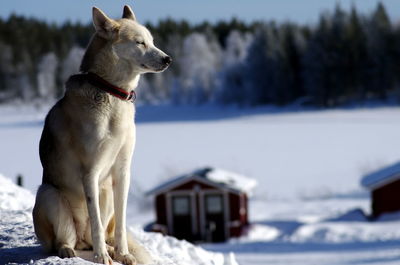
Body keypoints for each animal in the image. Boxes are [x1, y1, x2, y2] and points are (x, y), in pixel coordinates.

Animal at [33, 6, 171, 264]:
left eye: (152, 41)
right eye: (140, 42)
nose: (168, 59)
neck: (112, 92)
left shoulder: (122, 171)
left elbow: (121, 223)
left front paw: (123, 253)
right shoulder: (90, 172)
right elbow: (96, 221)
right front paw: (101, 256)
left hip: (105, 191)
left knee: (98, 233)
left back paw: (110, 249)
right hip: (49, 194)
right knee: (65, 240)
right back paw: (71, 250)